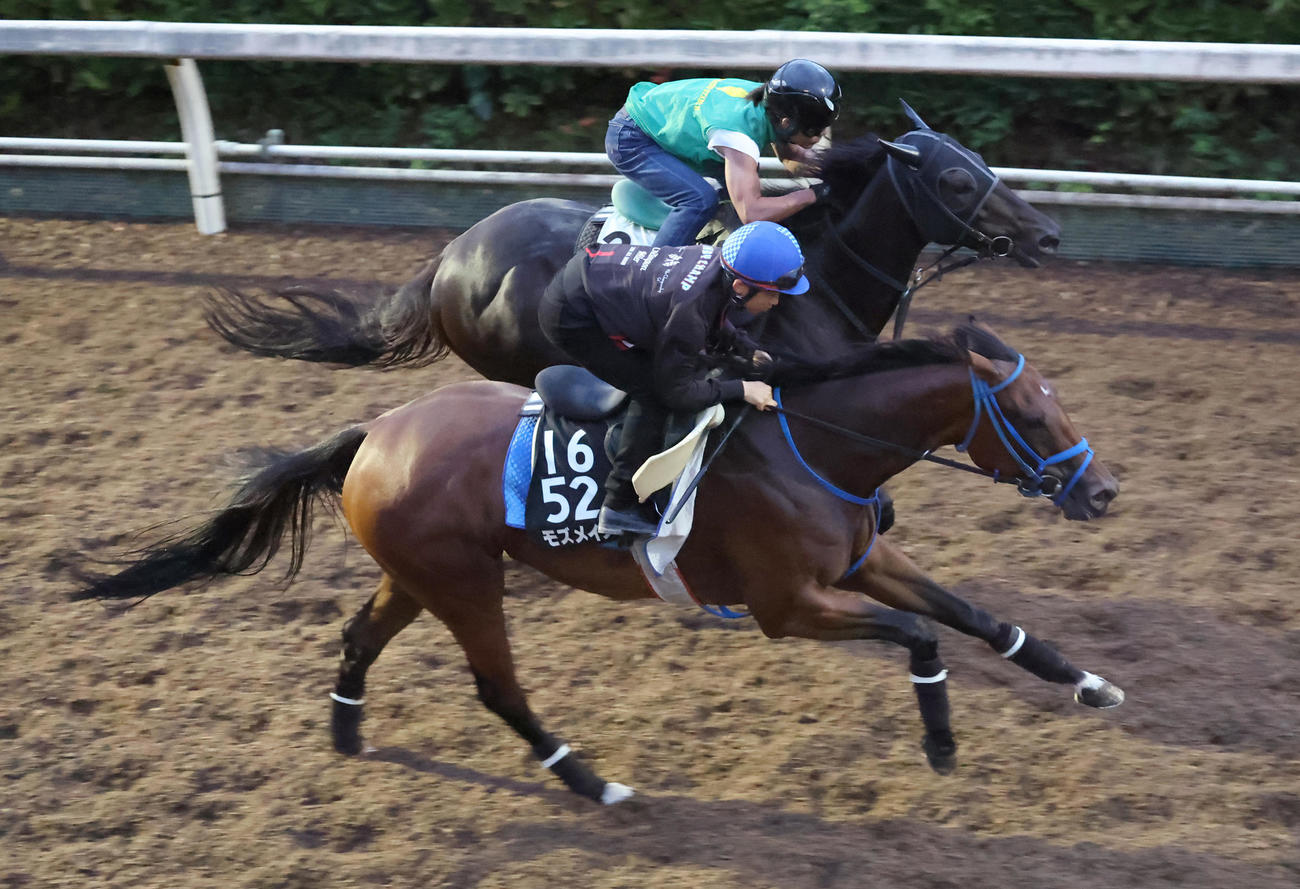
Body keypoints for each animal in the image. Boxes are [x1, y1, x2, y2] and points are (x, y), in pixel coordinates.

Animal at [75, 322, 1123, 805]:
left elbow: (979, 617)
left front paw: (1090, 683)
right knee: (498, 687)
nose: (1104, 490)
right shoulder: (788, 606)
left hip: (417, 574)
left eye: (1057, 401)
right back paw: (591, 780)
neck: (816, 445)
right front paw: (941, 740)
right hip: (466, 582)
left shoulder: (865, 558)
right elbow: (919, 635)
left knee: (357, 636)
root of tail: (374, 430)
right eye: (1027, 414)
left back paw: (344, 730)